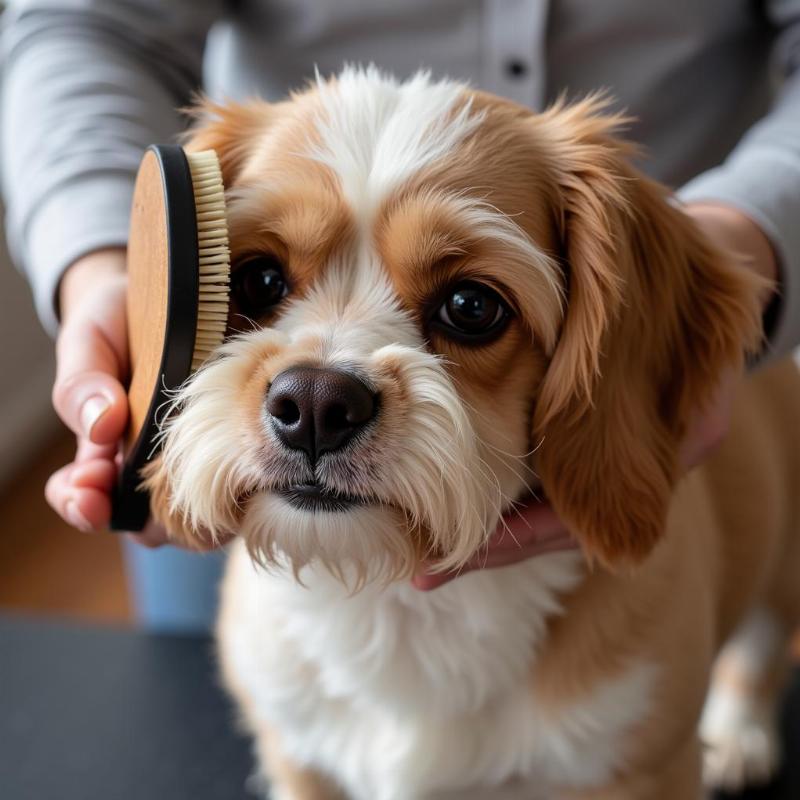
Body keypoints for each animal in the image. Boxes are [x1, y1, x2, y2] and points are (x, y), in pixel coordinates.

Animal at [144, 70, 800, 800]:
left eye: (471, 306)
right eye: (257, 278)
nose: (314, 403)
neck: (397, 609)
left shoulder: (643, 767)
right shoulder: (299, 758)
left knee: (763, 648)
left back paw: (739, 735)